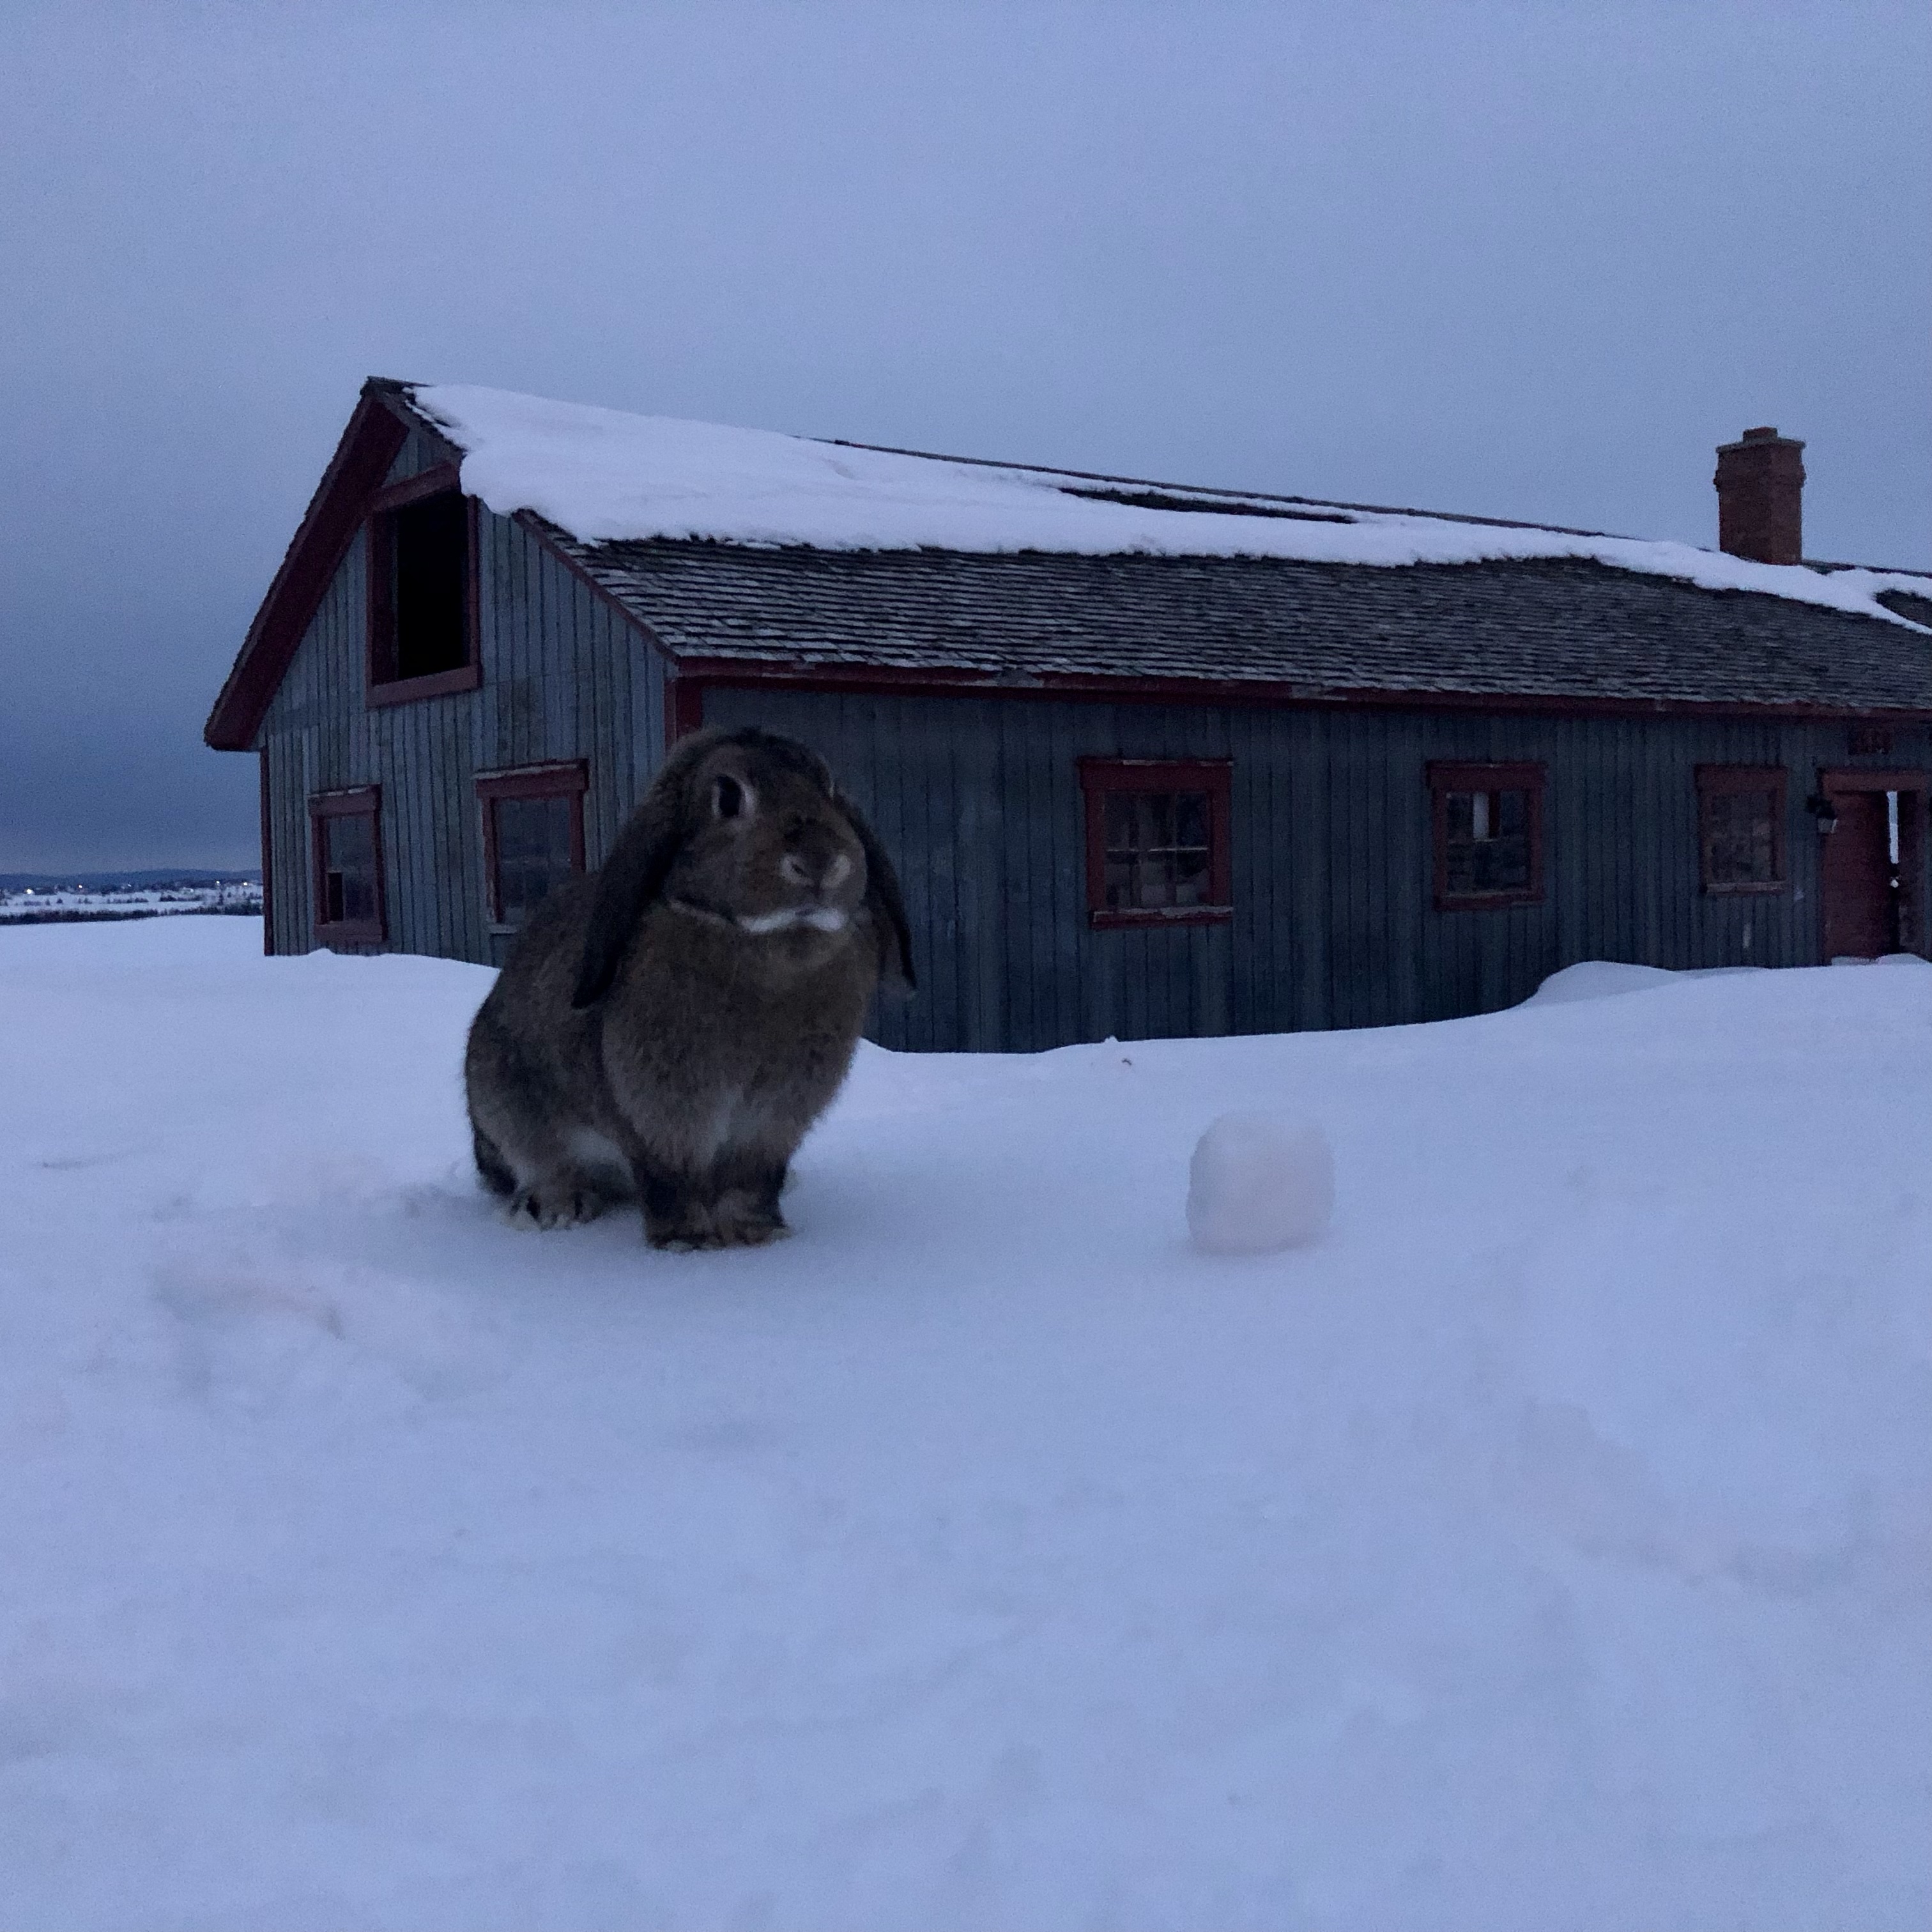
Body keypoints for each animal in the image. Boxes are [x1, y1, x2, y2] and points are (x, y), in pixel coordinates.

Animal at [469, 726, 919, 1252]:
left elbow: (753, 1182)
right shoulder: (661, 1115)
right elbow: (671, 1180)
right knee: (541, 1163)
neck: (768, 942)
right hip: (502, 1097)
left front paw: (759, 1234)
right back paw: (555, 1208)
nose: (819, 862)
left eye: (827, 787)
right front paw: (688, 1244)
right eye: (727, 797)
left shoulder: (772, 1125)